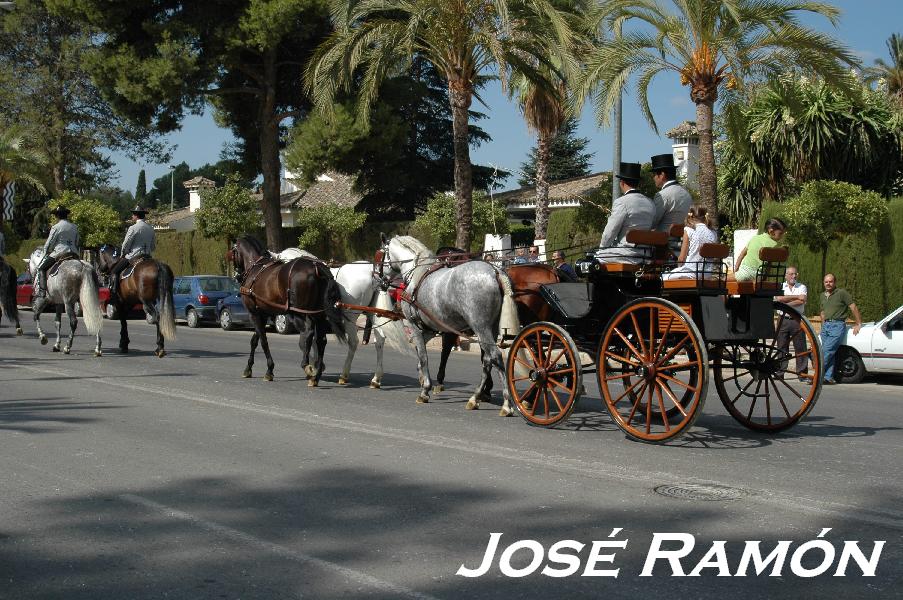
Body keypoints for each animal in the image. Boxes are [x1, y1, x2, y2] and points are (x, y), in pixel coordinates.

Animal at [230, 236, 346, 384]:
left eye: (232, 253)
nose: (237, 275)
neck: (255, 267)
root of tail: (317, 267)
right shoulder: (262, 314)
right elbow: (255, 340)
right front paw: (248, 368)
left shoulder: (254, 314)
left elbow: (263, 341)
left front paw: (269, 370)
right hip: (318, 314)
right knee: (321, 340)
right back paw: (317, 374)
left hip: (300, 312)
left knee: (308, 334)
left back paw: (306, 365)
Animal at [378, 234, 520, 412]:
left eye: (379, 255)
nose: (378, 278)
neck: (417, 274)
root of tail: (495, 272)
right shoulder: (429, 329)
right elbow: (421, 353)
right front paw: (422, 377)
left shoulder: (414, 325)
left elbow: (423, 356)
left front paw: (425, 390)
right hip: (490, 329)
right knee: (487, 360)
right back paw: (476, 397)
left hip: (480, 327)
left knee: (495, 356)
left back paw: (506, 403)